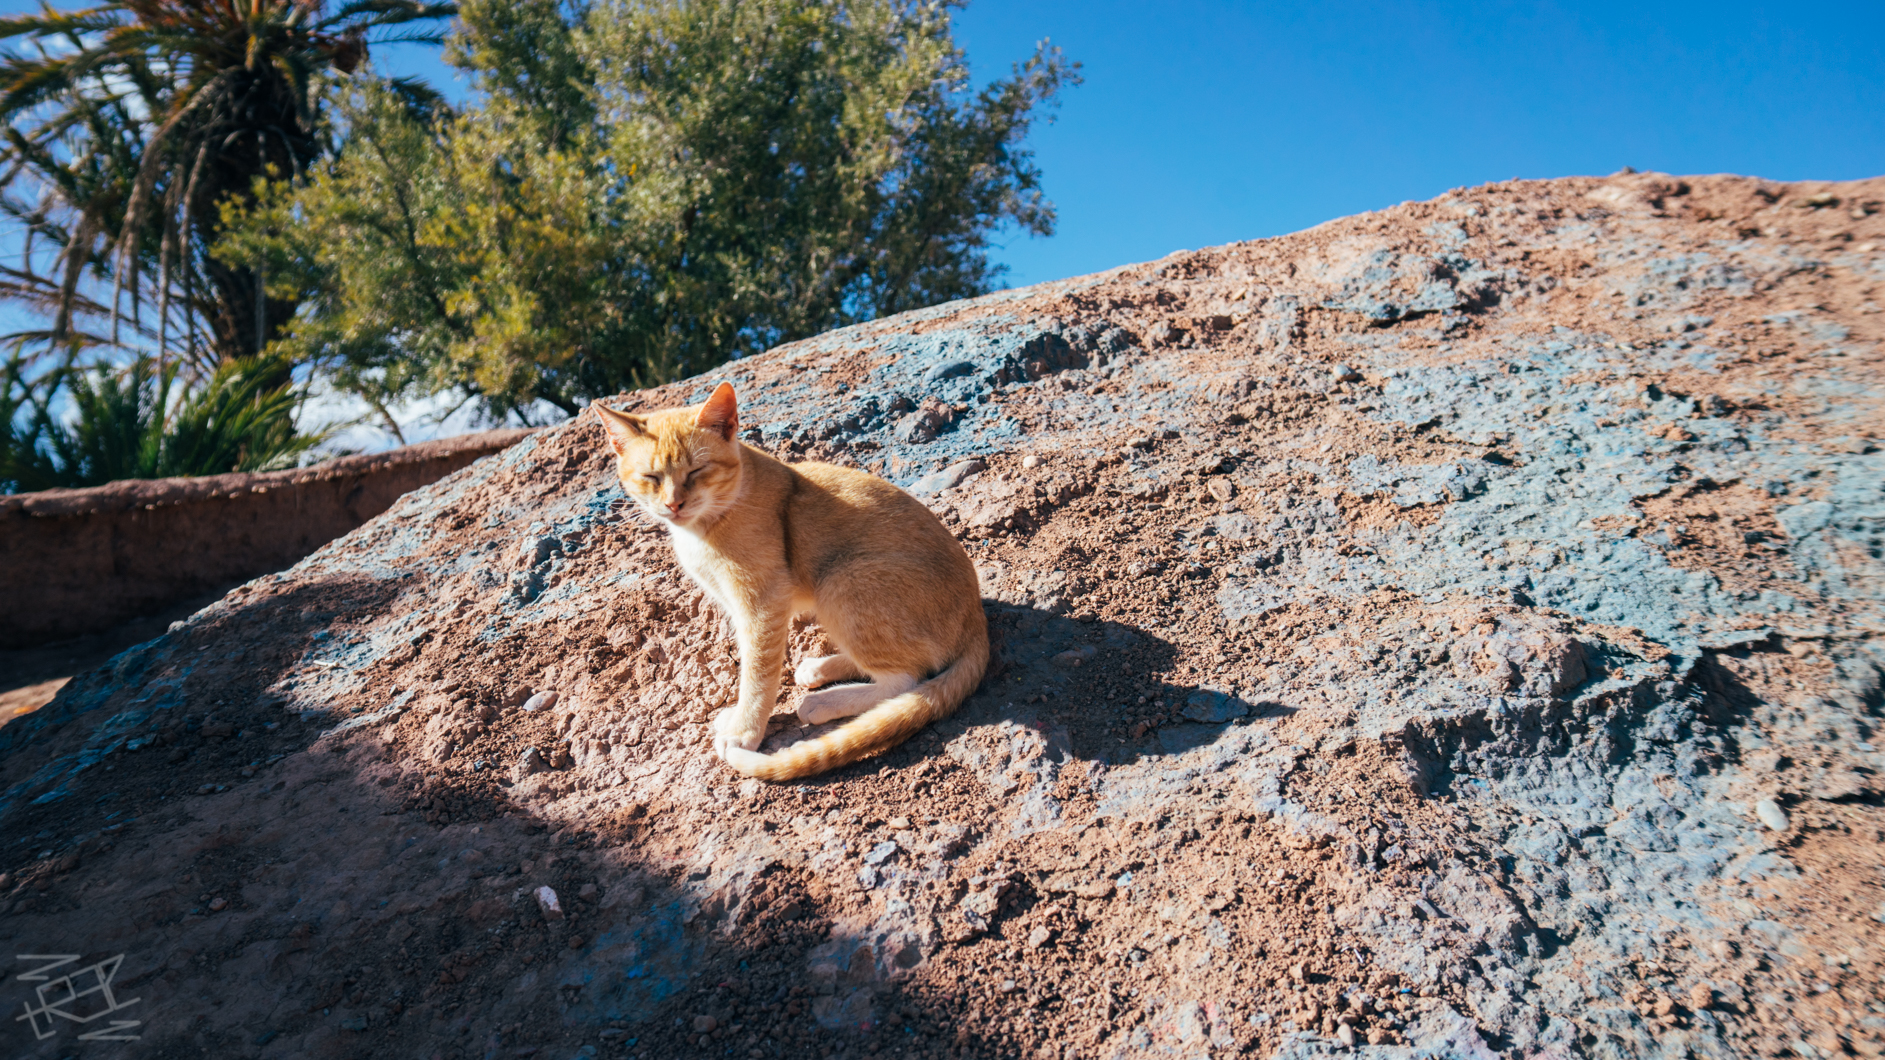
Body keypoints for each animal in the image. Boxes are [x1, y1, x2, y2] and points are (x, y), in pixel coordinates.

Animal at [595, 382, 995, 780]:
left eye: (696, 471)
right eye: (651, 478)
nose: (674, 505)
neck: (703, 528)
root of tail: (977, 620)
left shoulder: (763, 605)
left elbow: (758, 673)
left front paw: (745, 731)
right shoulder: (736, 605)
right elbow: (750, 665)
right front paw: (740, 718)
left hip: (841, 581)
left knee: (907, 679)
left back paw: (824, 701)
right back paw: (820, 668)